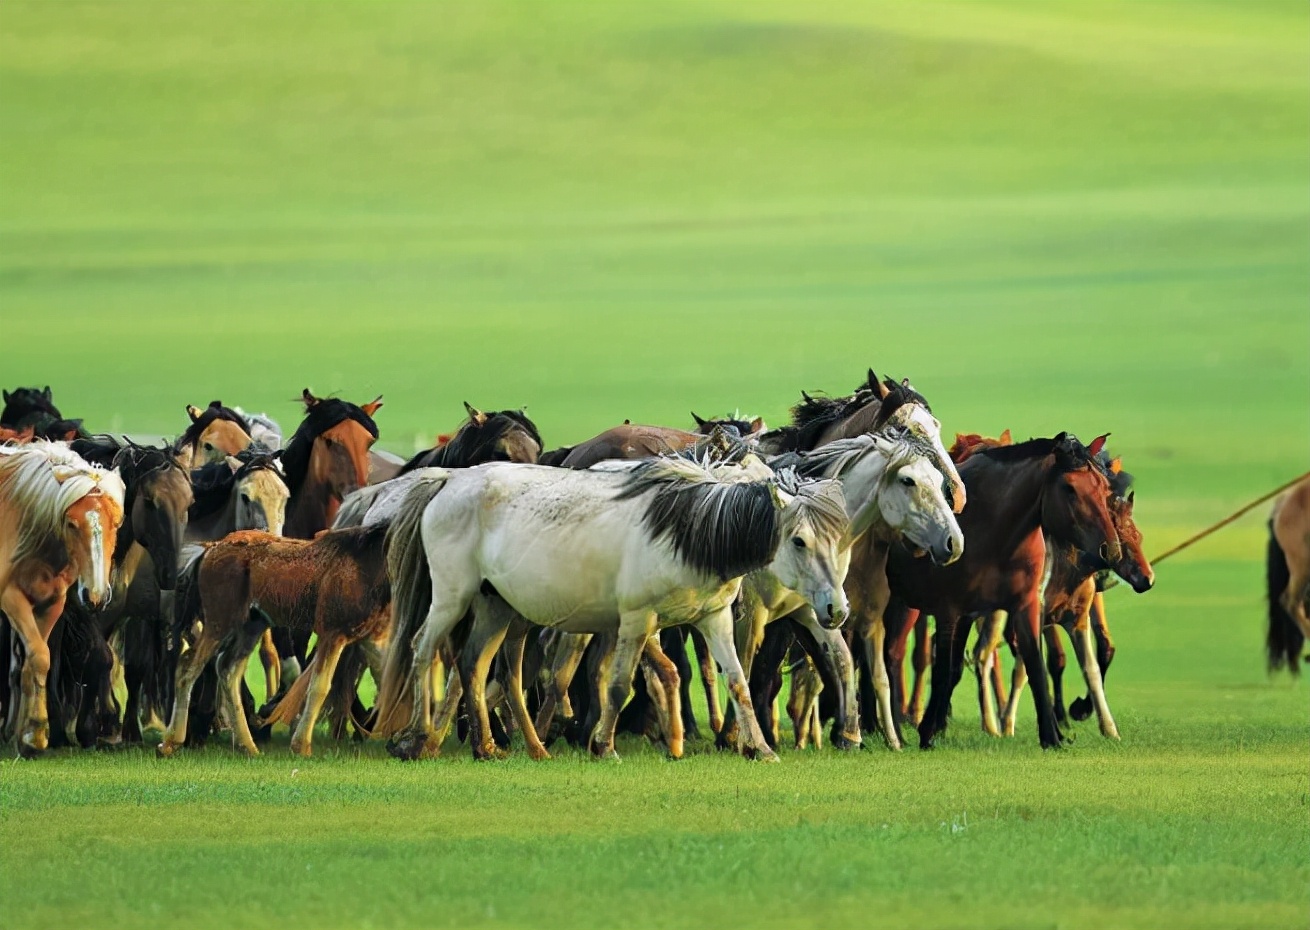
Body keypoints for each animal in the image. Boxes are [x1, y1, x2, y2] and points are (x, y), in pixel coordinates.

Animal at [0, 445, 123, 759]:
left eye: (116, 523)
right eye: (71, 523)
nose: (95, 595)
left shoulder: (51, 603)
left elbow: (35, 661)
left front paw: (28, 736)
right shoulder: (12, 598)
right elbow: (40, 657)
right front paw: (36, 732)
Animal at [158, 523, 387, 759]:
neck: (364, 561)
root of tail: (210, 548)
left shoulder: (370, 636)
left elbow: (387, 678)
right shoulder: (333, 633)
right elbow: (319, 686)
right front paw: (301, 746)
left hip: (252, 626)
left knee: (228, 670)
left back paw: (248, 746)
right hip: (219, 623)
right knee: (188, 666)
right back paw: (171, 742)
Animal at [374, 458, 843, 764]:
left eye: (837, 540)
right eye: (799, 541)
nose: (836, 609)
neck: (688, 532)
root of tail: (449, 478)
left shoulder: (716, 620)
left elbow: (739, 683)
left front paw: (760, 749)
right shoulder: (637, 620)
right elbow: (617, 686)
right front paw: (604, 747)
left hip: (496, 608)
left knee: (475, 664)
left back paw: (493, 748)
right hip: (451, 599)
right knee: (422, 650)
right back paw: (416, 740)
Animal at [885, 434, 1121, 749]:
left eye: (1104, 486)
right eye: (1069, 488)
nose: (1112, 550)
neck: (995, 529)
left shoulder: (1021, 606)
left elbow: (1033, 665)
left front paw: (1051, 737)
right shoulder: (949, 610)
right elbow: (943, 669)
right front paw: (927, 733)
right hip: (899, 604)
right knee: (889, 654)